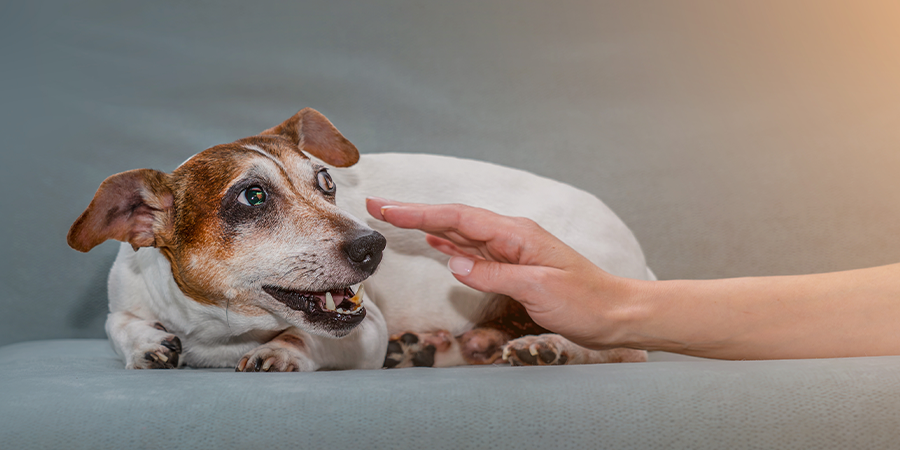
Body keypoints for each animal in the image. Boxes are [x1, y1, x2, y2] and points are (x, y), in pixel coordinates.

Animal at [65, 107, 652, 370]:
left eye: (326, 182)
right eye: (252, 197)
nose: (374, 245)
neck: (222, 332)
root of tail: (641, 262)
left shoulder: (364, 330)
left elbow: (305, 338)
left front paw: (281, 351)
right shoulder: (124, 299)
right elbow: (119, 325)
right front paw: (146, 343)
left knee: (624, 348)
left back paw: (546, 346)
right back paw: (440, 346)